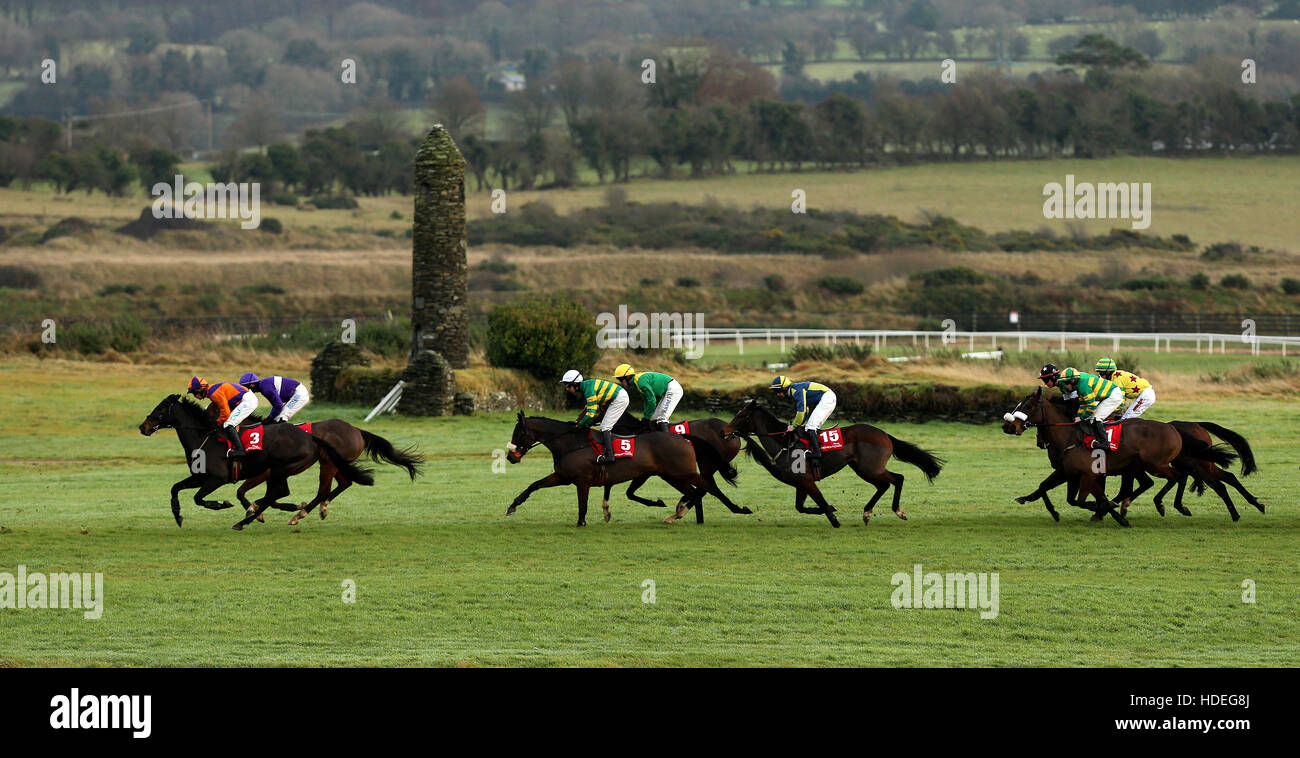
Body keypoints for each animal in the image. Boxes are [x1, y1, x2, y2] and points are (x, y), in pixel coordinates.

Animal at [143, 395, 377, 530]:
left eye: (161, 409)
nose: (142, 427)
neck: (206, 437)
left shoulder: (219, 478)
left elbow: (200, 498)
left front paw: (223, 504)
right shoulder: (200, 476)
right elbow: (175, 488)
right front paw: (177, 516)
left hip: (290, 467)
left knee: (289, 492)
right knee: (336, 484)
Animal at [501, 413, 748, 525]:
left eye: (518, 432)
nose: (510, 456)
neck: (571, 443)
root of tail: (684, 438)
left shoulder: (582, 481)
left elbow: (583, 504)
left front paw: (582, 522)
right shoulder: (563, 476)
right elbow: (534, 485)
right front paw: (512, 506)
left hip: (685, 472)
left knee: (709, 489)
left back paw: (738, 509)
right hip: (672, 475)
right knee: (695, 492)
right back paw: (678, 513)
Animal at [722, 400, 946, 530]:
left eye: (740, 415)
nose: (725, 431)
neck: (784, 443)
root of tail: (884, 434)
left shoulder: (807, 481)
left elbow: (820, 501)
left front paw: (834, 517)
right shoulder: (800, 484)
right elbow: (800, 507)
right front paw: (830, 510)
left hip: (870, 468)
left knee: (897, 479)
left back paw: (897, 511)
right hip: (863, 469)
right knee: (884, 485)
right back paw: (867, 513)